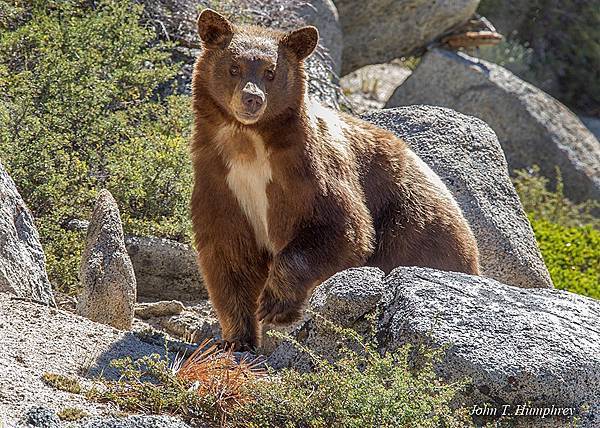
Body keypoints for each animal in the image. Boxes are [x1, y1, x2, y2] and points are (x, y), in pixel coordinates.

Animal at [188, 9, 478, 352]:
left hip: (414, 223)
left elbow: (341, 228)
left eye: (271, 73)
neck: (248, 143)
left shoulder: (309, 171)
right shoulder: (221, 181)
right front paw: (237, 338)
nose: (252, 99)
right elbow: (228, 254)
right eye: (234, 67)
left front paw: (274, 304)